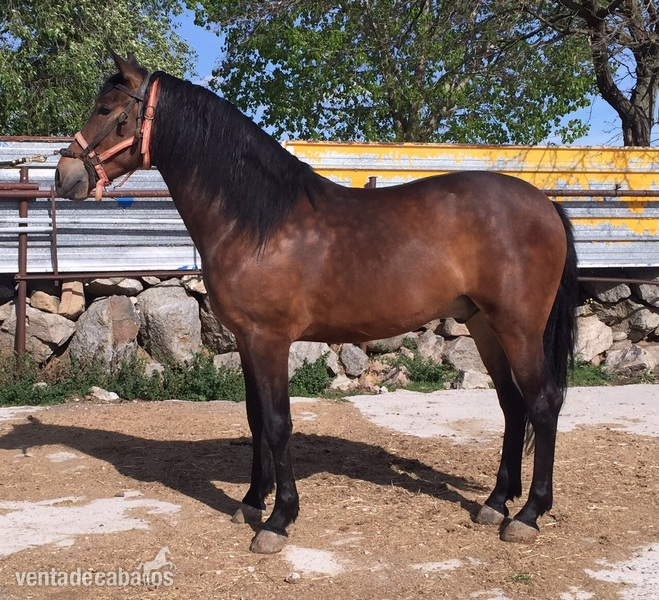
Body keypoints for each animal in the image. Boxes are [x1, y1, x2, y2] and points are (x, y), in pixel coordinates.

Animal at [55, 52, 578, 554]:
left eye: (107, 110)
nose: (65, 174)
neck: (257, 221)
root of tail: (545, 204)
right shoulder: (246, 340)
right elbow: (255, 419)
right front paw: (252, 501)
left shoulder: (269, 339)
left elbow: (278, 422)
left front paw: (278, 520)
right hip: (485, 325)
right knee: (512, 404)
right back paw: (495, 502)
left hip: (518, 327)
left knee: (543, 402)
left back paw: (528, 514)